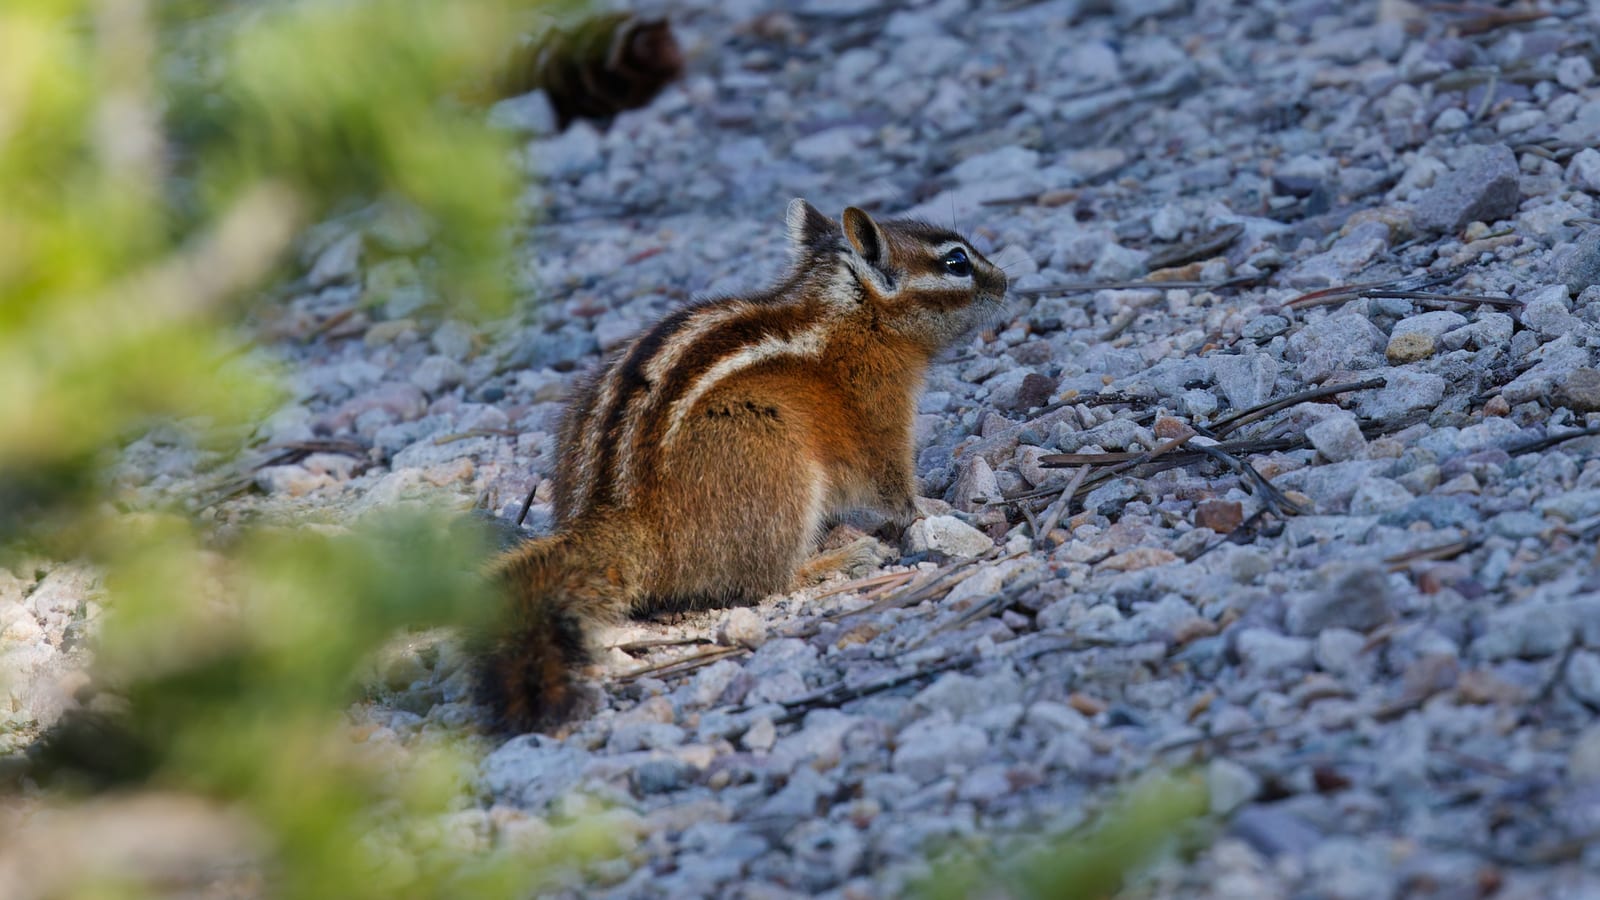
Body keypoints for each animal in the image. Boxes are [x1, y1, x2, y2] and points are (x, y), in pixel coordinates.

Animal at [477, 199, 1008, 733]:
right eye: (957, 262)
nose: (1006, 281)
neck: (853, 315)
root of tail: (621, 521)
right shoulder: (880, 414)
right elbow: (894, 486)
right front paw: (940, 512)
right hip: (773, 464)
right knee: (770, 582)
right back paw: (840, 559)